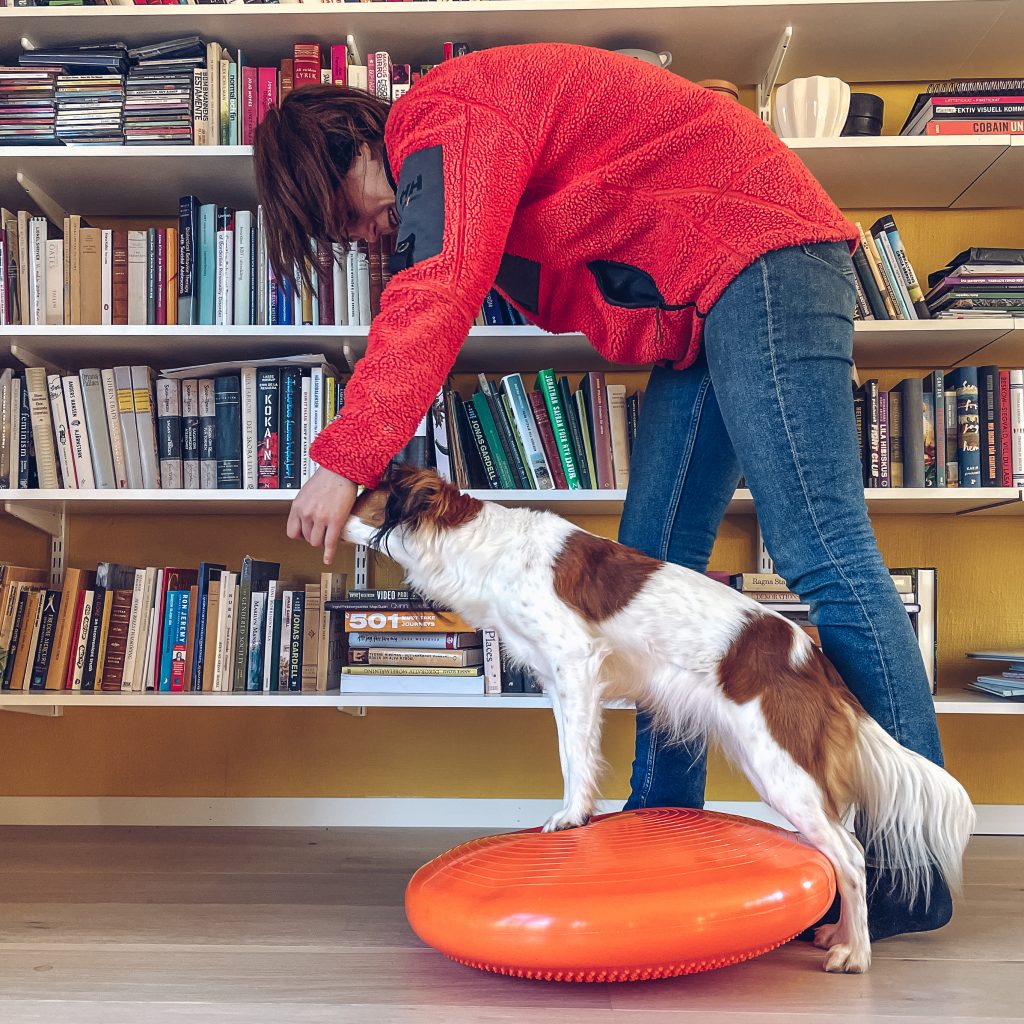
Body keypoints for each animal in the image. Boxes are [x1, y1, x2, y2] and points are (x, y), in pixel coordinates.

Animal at [344, 464, 974, 974]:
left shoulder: (575, 662)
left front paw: (572, 818)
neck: (480, 544)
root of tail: (810, 655)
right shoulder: (559, 681)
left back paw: (856, 950)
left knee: (851, 854)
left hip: (780, 768)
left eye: (359, 490)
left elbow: (573, 757)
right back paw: (837, 932)